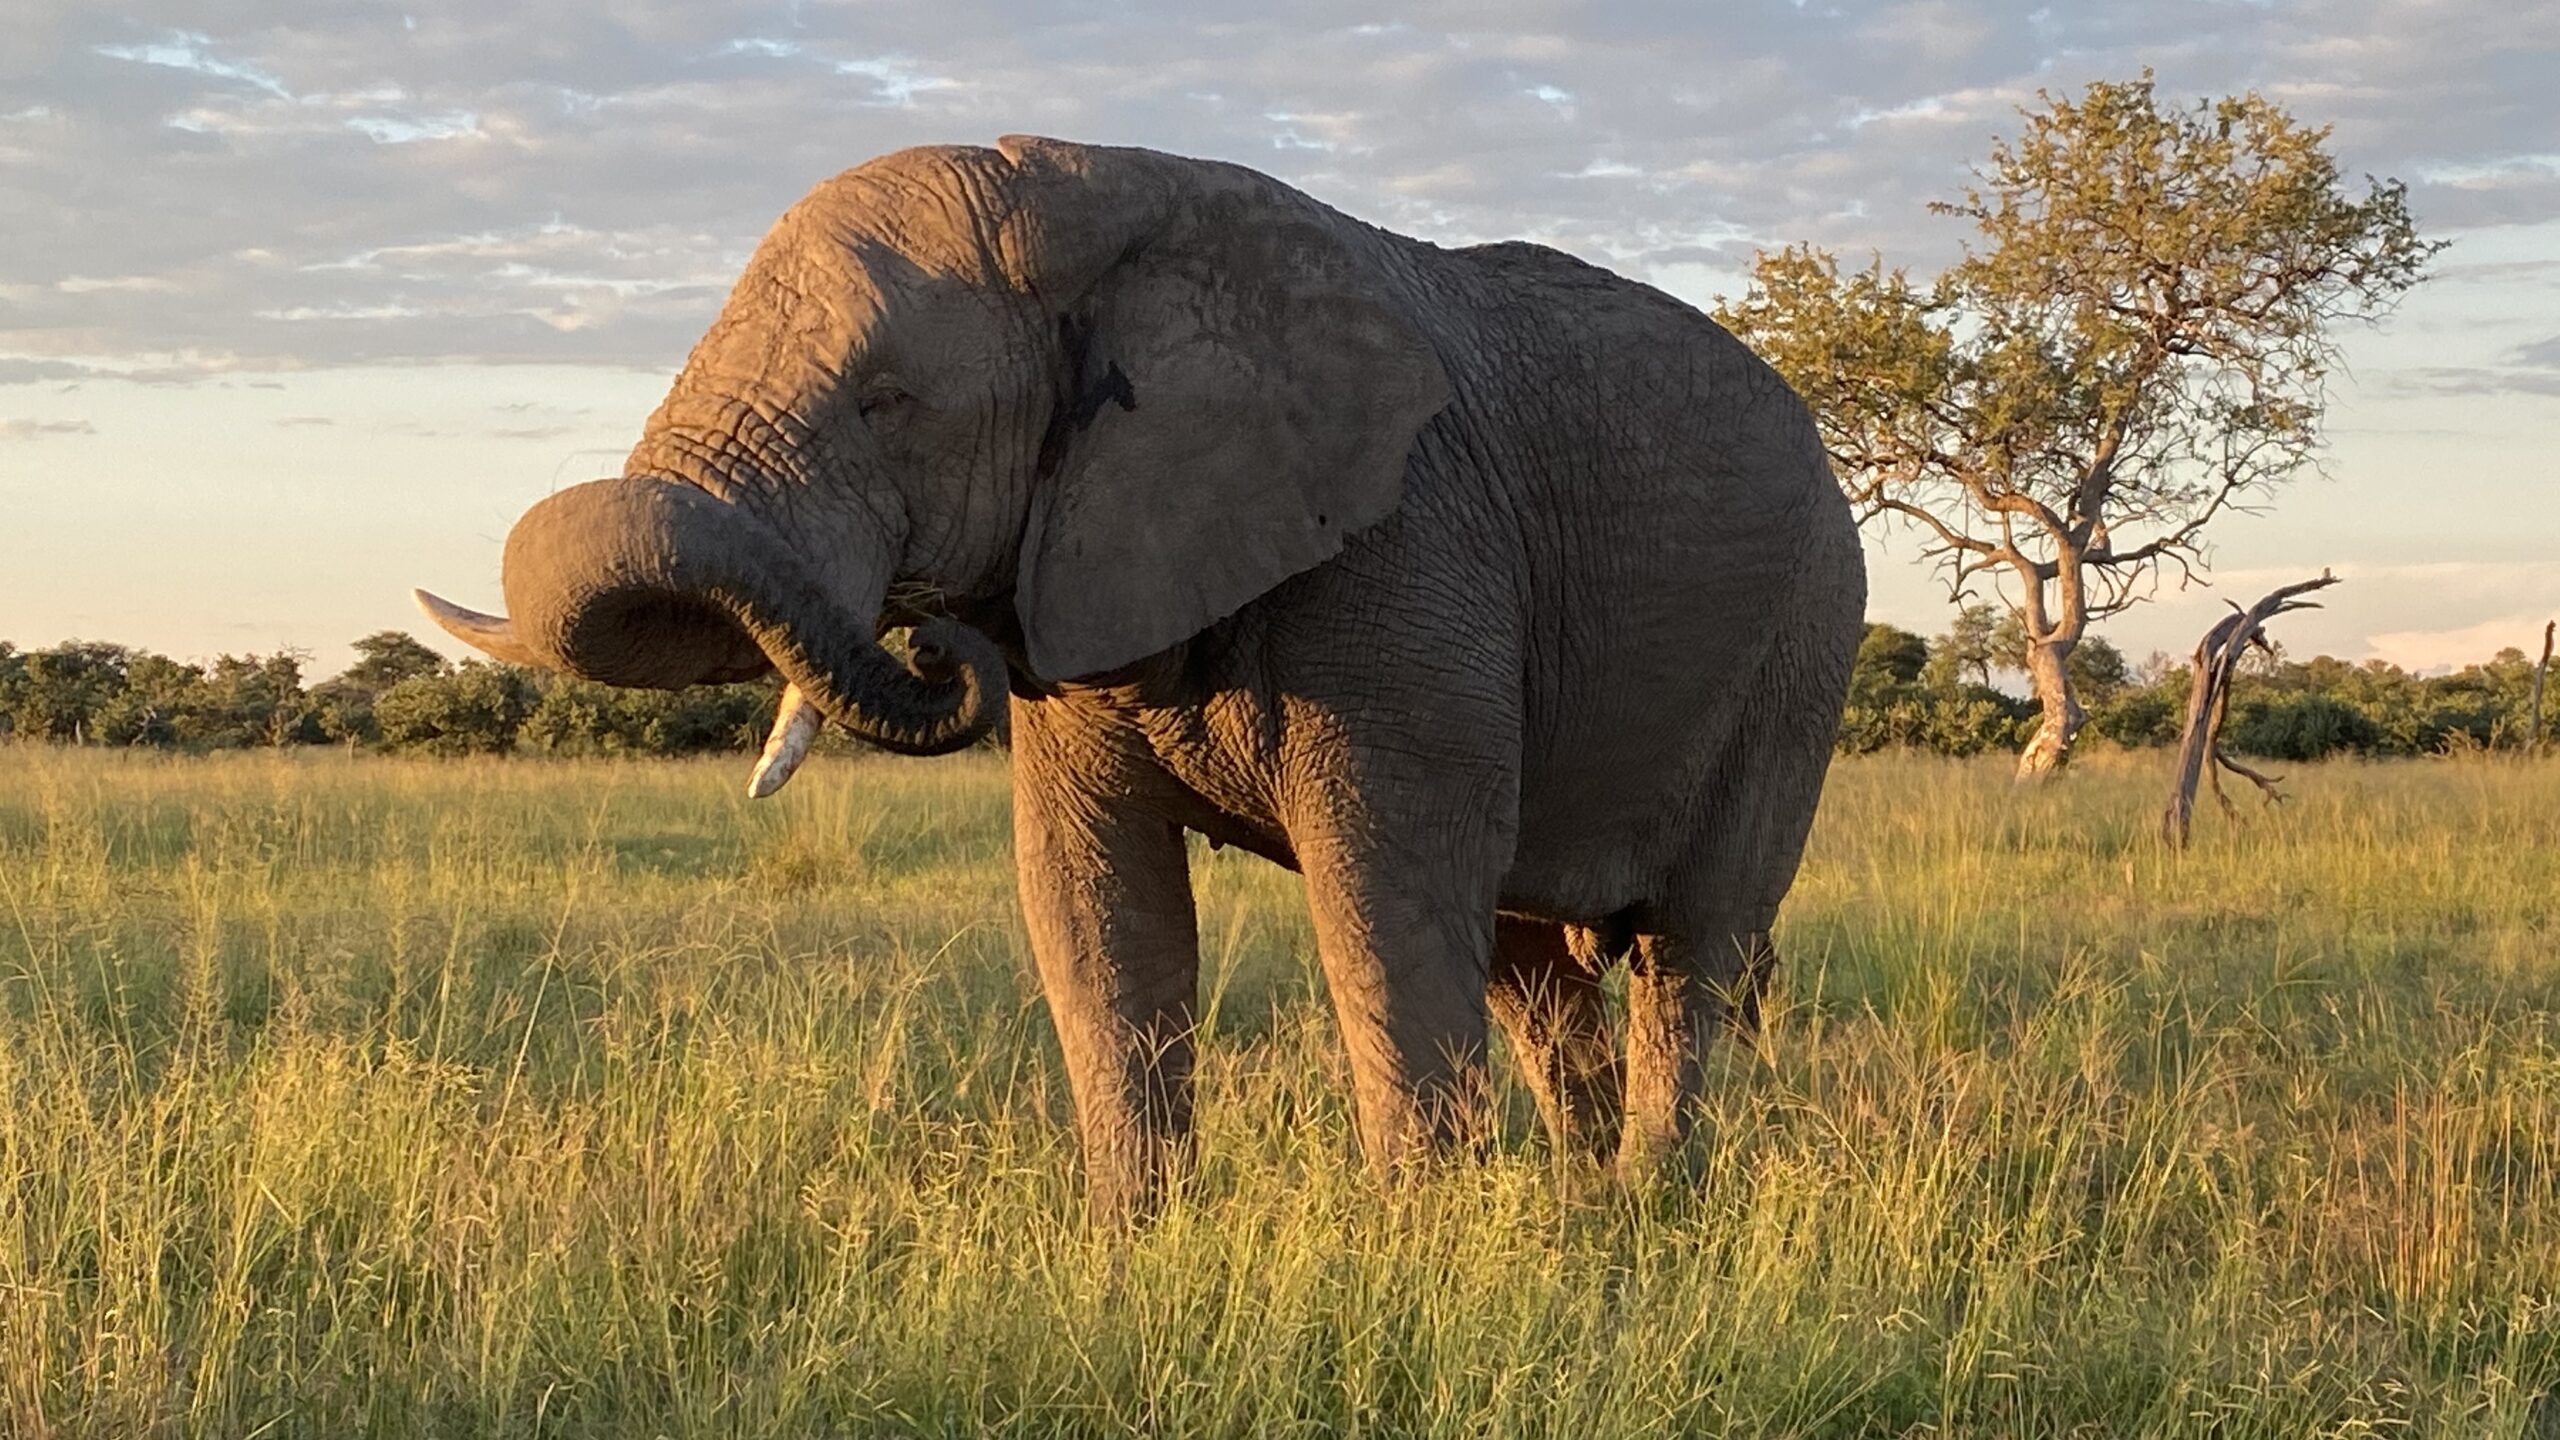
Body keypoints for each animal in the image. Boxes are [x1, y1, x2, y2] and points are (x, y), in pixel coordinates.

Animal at [414, 134, 1863, 1214]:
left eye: (887, 405)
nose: (931, 638)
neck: (1095, 196)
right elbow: (1093, 905)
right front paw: (1130, 1251)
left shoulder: (1409, 553)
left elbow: (1383, 909)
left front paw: (1427, 1261)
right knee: (1529, 967)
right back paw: (1581, 1215)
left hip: (1803, 646)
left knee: (1691, 954)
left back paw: (1653, 1214)